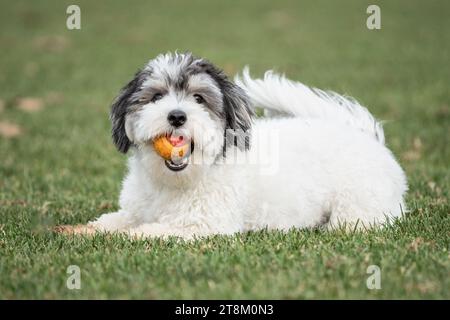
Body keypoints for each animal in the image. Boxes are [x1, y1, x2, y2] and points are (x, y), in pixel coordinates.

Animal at [61, 52, 410, 238]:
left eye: (199, 99)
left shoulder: (201, 224)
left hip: (358, 209)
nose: (177, 116)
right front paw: (79, 231)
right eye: (156, 96)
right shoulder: (134, 210)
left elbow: (142, 232)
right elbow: (110, 222)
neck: (173, 182)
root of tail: (367, 136)